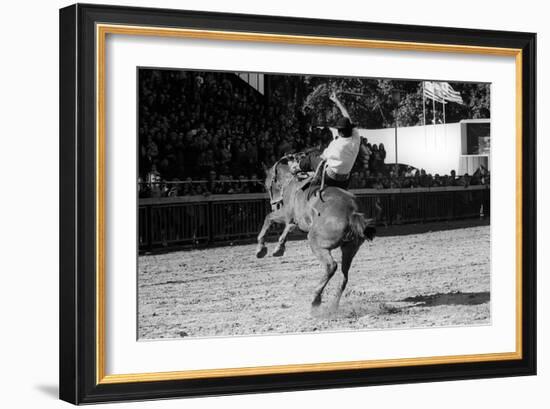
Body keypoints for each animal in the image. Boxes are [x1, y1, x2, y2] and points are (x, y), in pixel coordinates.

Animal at [256, 153, 378, 310]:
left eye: (267, 185)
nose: (273, 205)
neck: (292, 183)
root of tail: (352, 212)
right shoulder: (295, 221)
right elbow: (288, 228)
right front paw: (278, 247)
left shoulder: (287, 214)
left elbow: (269, 218)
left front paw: (262, 249)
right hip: (350, 248)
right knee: (344, 276)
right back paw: (332, 306)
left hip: (316, 243)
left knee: (331, 266)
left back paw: (316, 298)